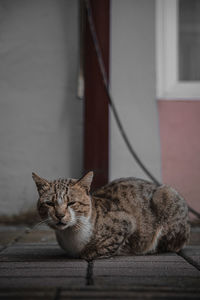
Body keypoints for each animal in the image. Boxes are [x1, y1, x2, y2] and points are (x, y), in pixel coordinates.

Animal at [32, 171, 190, 260]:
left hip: (167, 196)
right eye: (49, 204)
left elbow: (106, 245)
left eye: (71, 203)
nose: (59, 215)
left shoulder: (127, 223)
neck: (70, 235)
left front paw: (90, 252)